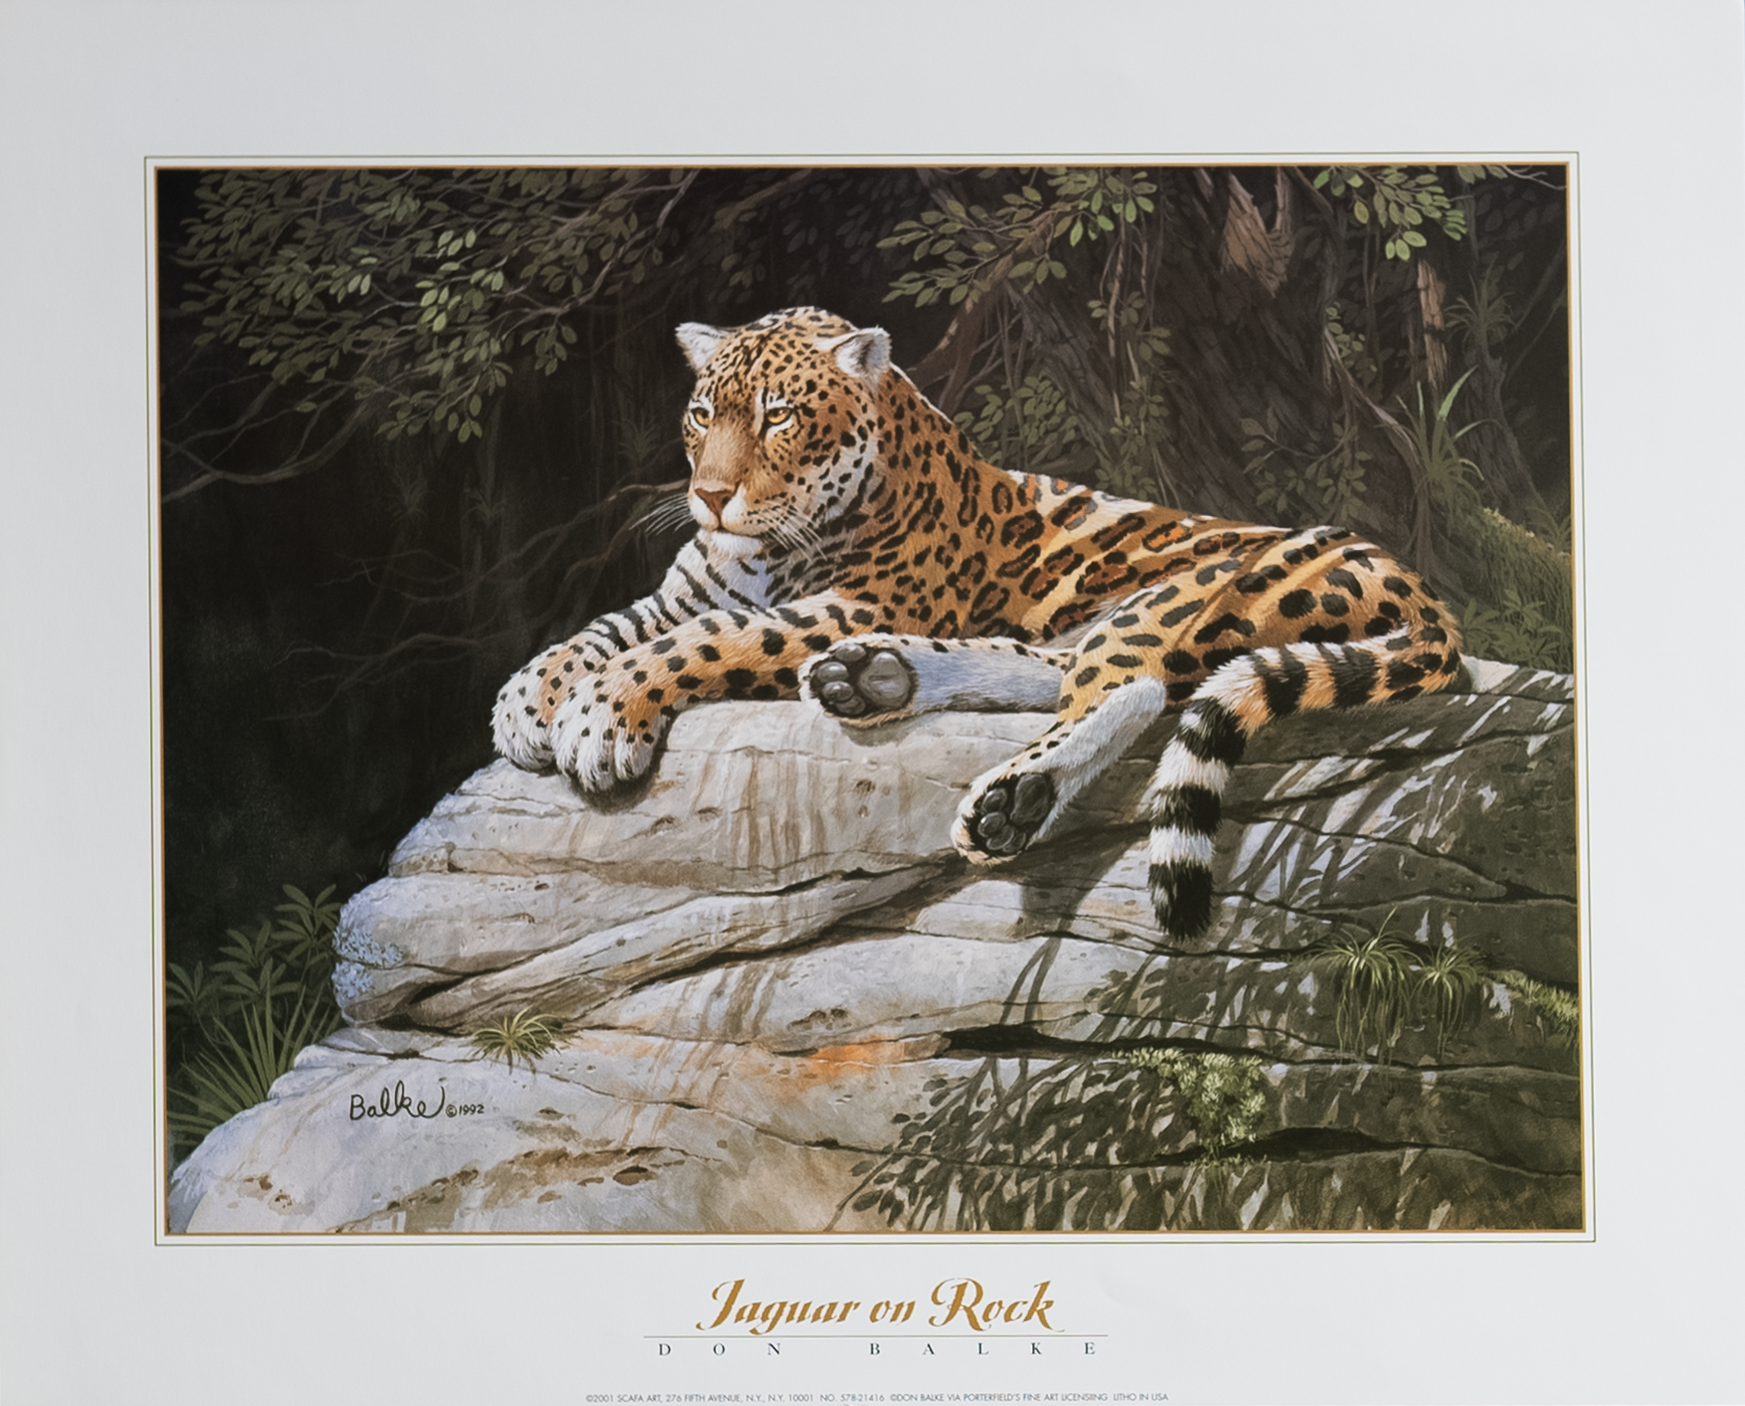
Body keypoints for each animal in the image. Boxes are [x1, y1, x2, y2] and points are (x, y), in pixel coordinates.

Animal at [493, 307, 1462, 937]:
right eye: (701, 414)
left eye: (778, 416)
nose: (710, 495)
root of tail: (1412, 581)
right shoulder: (694, 591)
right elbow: (602, 629)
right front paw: (525, 704)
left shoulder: (847, 604)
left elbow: (702, 644)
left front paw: (600, 717)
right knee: (1064, 670)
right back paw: (873, 678)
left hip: (1177, 592)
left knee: (1132, 690)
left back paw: (1007, 800)